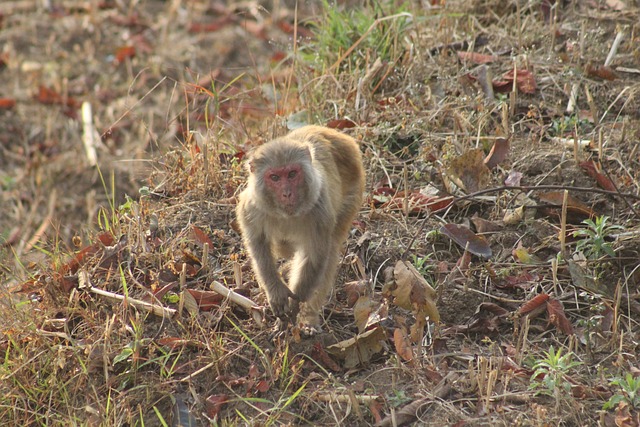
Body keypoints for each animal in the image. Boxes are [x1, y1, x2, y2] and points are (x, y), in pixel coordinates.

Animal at [235, 125, 364, 332]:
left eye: (292, 174)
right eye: (275, 177)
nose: (287, 193)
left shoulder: (320, 209)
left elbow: (314, 256)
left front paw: (295, 306)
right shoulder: (251, 208)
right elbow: (258, 245)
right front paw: (276, 292)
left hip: (353, 191)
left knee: (330, 249)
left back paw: (309, 318)